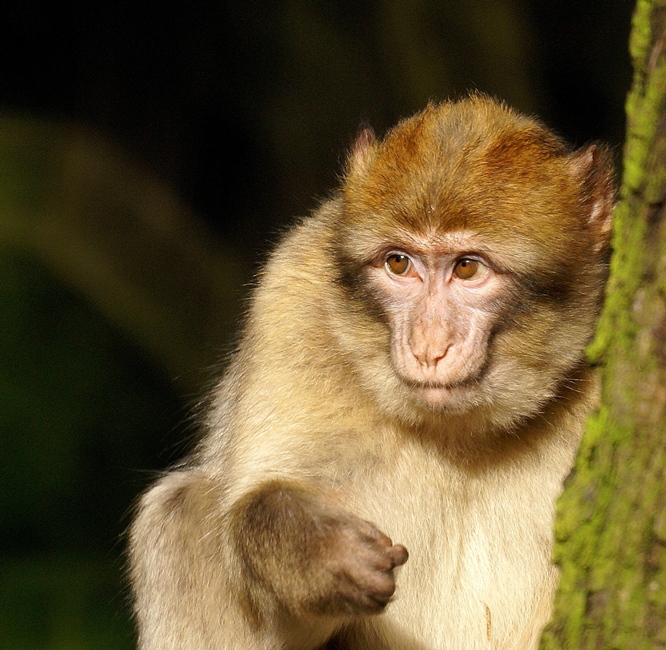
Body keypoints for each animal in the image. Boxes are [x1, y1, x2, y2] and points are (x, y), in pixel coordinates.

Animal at [128, 96, 612, 648]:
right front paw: (314, 551)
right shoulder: (290, 299)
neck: (464, 436)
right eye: (398, 264)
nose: (428, 346)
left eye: (467, 268)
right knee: (179, 513)